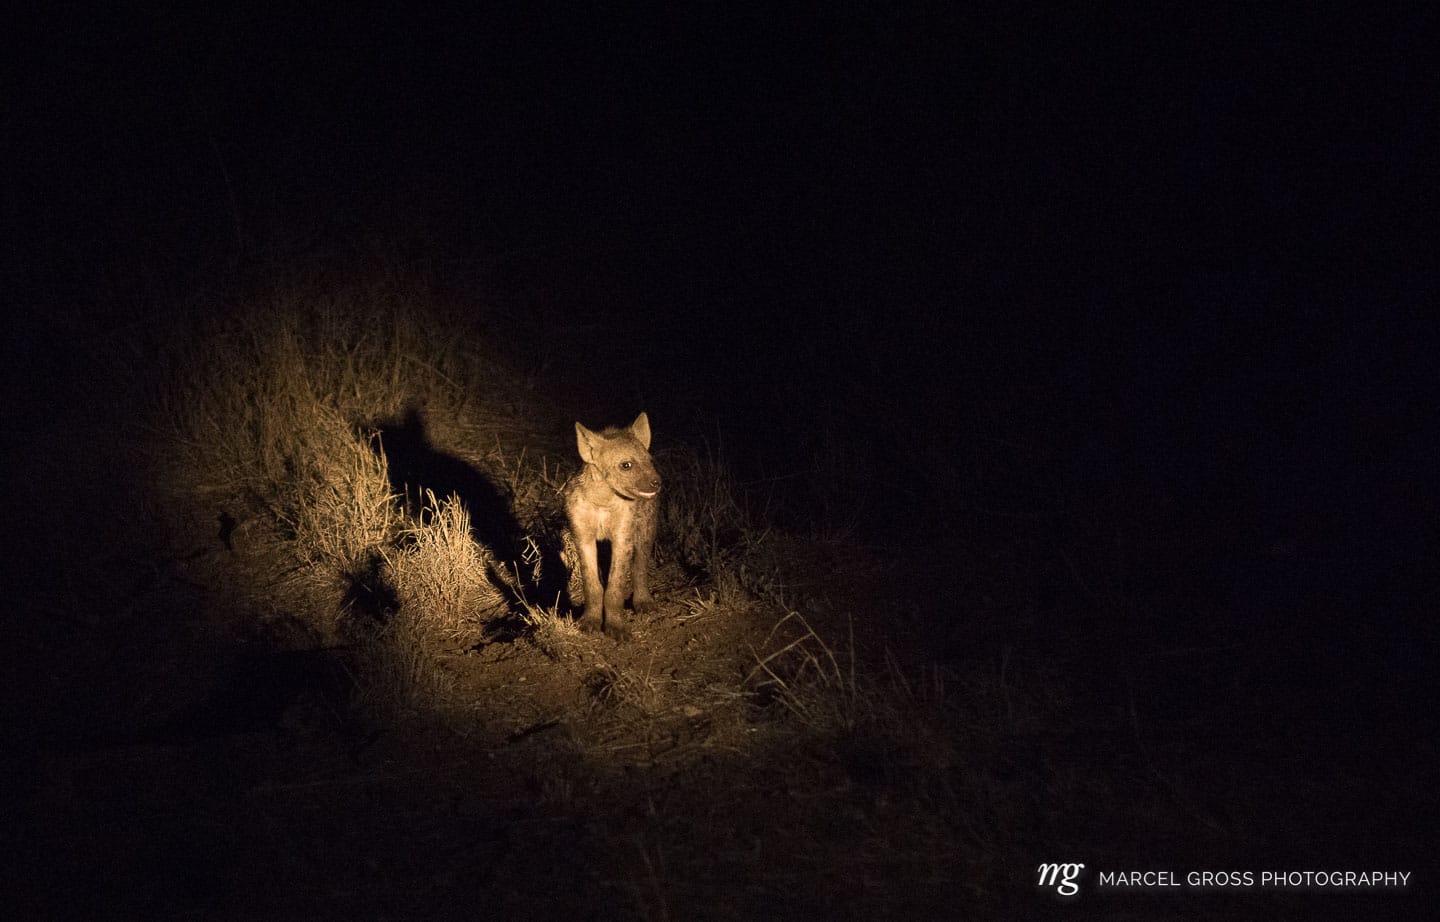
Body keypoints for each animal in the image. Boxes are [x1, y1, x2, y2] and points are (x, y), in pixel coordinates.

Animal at [565, 412, 662, 639]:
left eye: (649, 461)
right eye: (626, 465)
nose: (657, 481)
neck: (602, 500)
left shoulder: (623, 536)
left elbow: (616, 585)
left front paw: (616, 627)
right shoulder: (582, 535)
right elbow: (591, 582)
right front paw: (590, 621)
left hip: (646, 527)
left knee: (640, 564)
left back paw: (644, 602)